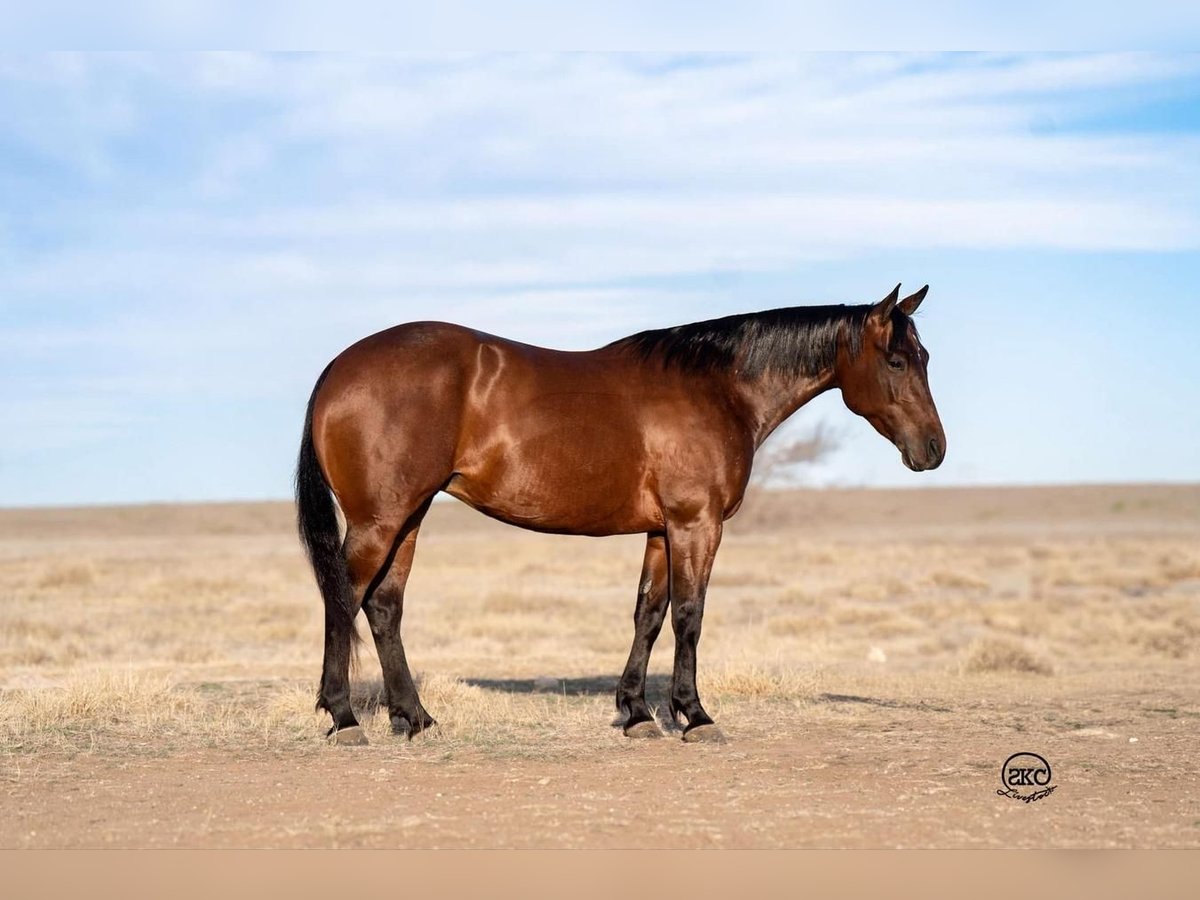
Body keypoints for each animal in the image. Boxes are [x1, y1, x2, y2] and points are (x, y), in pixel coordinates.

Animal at [295, 283, 940, 748]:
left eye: (924, 357)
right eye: (897, 361)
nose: (934, 449)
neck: (718, 387)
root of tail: (338, 369)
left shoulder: (661, 529)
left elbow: (648, 614)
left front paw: (636, 715)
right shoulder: (696, 524)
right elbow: (688, 616)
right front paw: (695, 716)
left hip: (409, 516)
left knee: (384, 606)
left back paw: (416, 719)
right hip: (381, 520)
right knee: (344, 598)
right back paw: (345, 718)